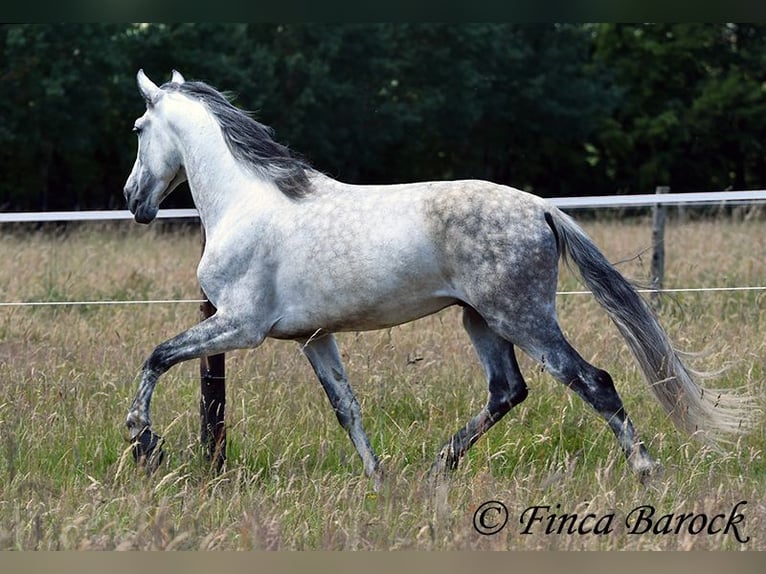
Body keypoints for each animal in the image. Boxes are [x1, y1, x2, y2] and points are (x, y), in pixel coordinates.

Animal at [123, 69, 751, 484]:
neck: (247, 202)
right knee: (507, 390)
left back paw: (645, 469)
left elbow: (156, 356)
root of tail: (541, 208)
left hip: (522, 318)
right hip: (481, 321)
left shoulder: (240, 326)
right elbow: (346, 407)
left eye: (137, 127)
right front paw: (377, 480)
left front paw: (143, 444)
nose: (134, 201)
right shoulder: (313, 337)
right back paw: (437, 466)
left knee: (592, 381)